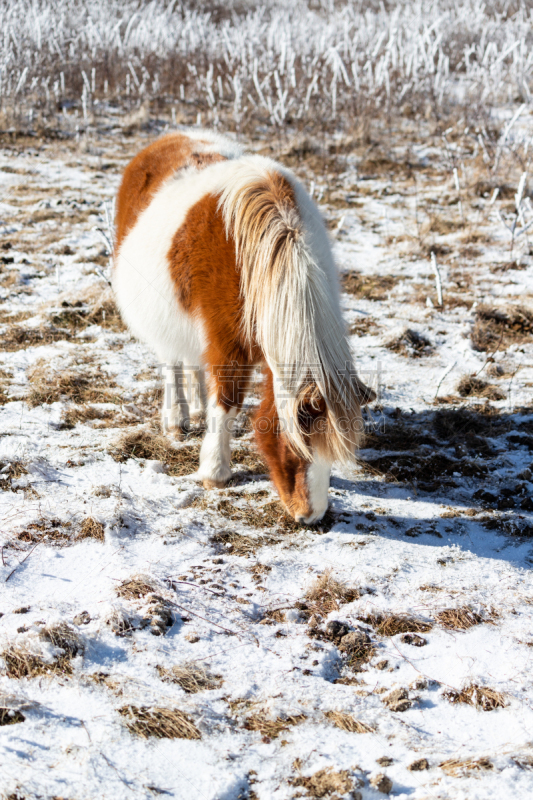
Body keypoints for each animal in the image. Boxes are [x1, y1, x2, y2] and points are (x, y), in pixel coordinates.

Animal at [112, 130, 374, 524]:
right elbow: (228, 400)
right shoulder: (228, 341)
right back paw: (177, 418)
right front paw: (215, 471)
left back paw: (197, 407)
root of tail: (171, 137)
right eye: (298, 443)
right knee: (172, 362)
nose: (311, 517)